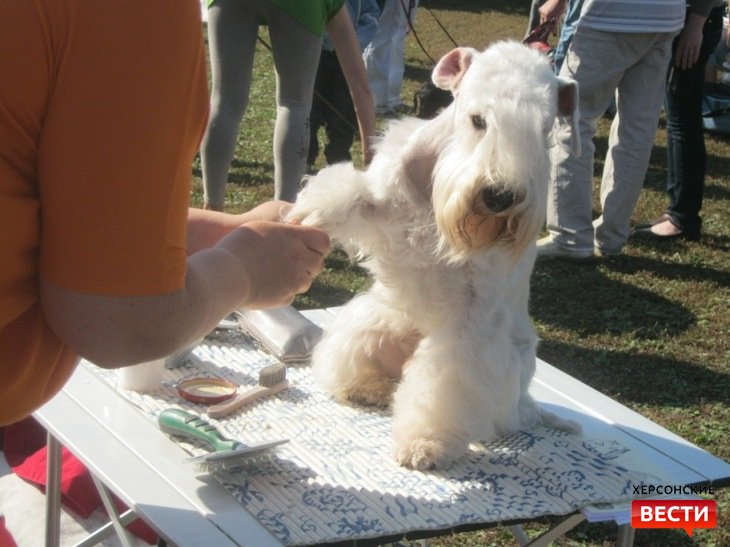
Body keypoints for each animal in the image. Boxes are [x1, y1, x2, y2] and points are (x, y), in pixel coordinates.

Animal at [290, 42, 580, 470]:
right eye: (478, 119)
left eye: (544, 131)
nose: (499, 197)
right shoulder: (380, 202)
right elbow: (350, 194)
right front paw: (307, 214)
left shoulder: (472, 320)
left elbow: (446, 384)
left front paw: (425, 442)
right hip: (368, 327)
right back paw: (369, 387)